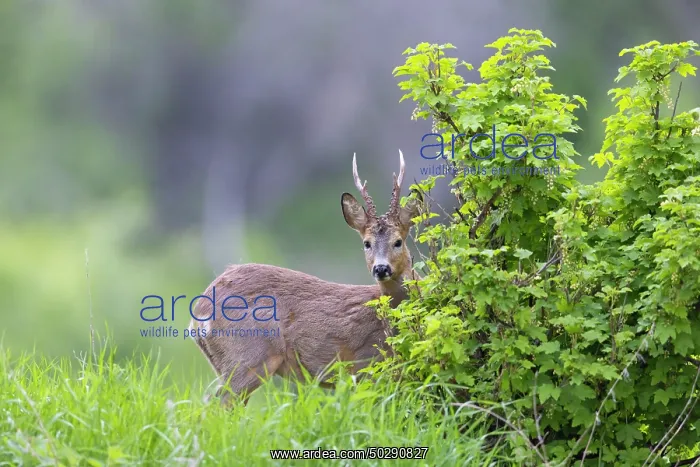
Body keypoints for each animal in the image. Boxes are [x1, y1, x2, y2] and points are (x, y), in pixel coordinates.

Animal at [189, 150, 422, 405]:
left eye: (398, 241)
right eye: (366, 243)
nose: (381, 268)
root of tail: (198, 314)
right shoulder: (366, 365)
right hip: (248, 357)